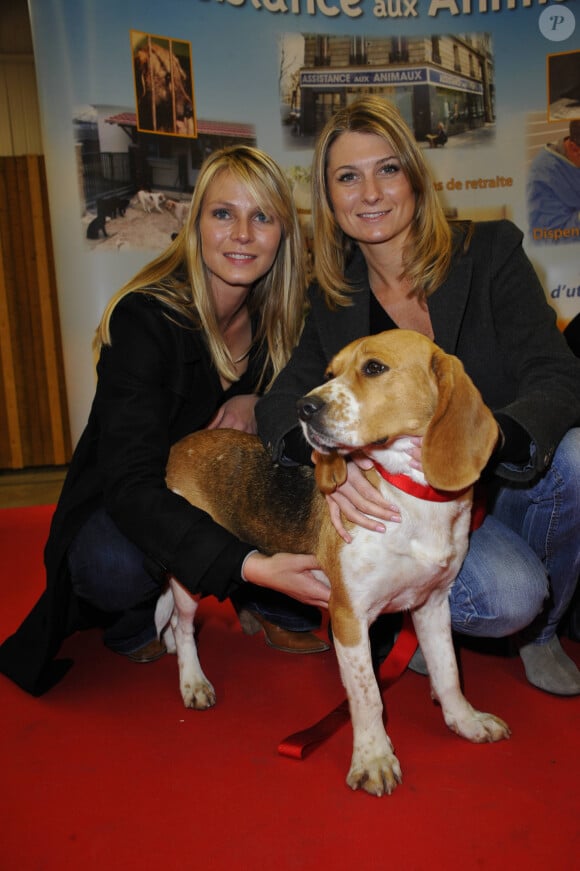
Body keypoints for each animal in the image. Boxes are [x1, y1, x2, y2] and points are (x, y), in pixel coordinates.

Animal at [161, 328, 510, 796]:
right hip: (189, 576)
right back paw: (193, 681)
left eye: (374, 368)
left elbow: (449, 672)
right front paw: (374, 758)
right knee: (183, 627)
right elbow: (368, 696)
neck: (411, 496)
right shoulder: (349, 618)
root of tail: (183, 444)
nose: (304, 408)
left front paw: (464, 721)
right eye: (329, 374)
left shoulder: (433, 605)